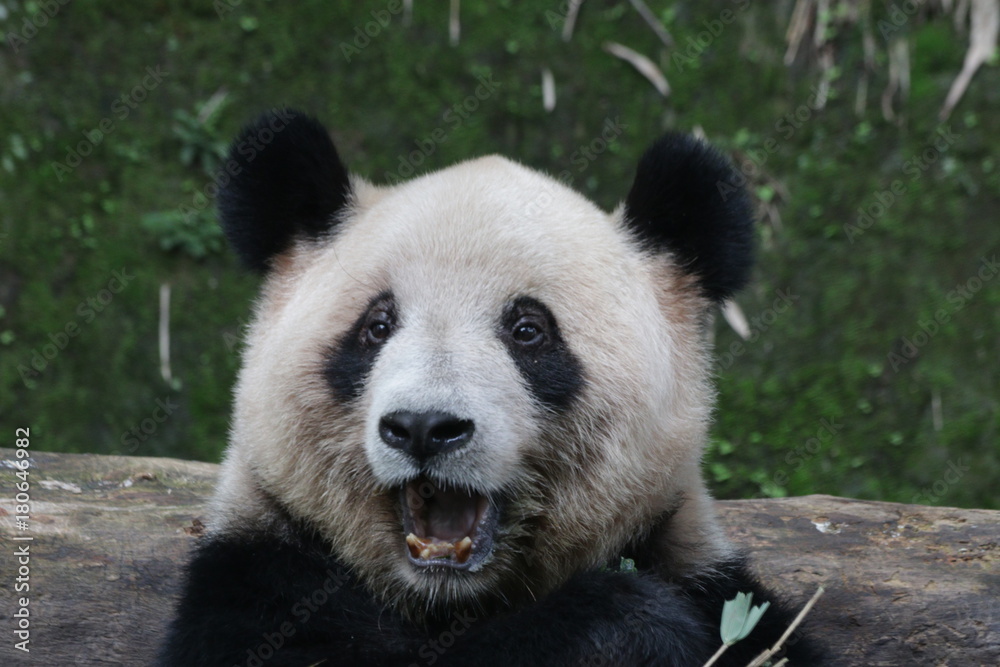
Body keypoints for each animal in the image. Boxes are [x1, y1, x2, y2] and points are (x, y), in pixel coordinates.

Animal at [159, 110, 817, 666]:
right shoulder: (258, 575)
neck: (447, 597)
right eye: (377, 326)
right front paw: (627, 627)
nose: (424, 428)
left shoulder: (695, 564)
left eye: (528, 330)